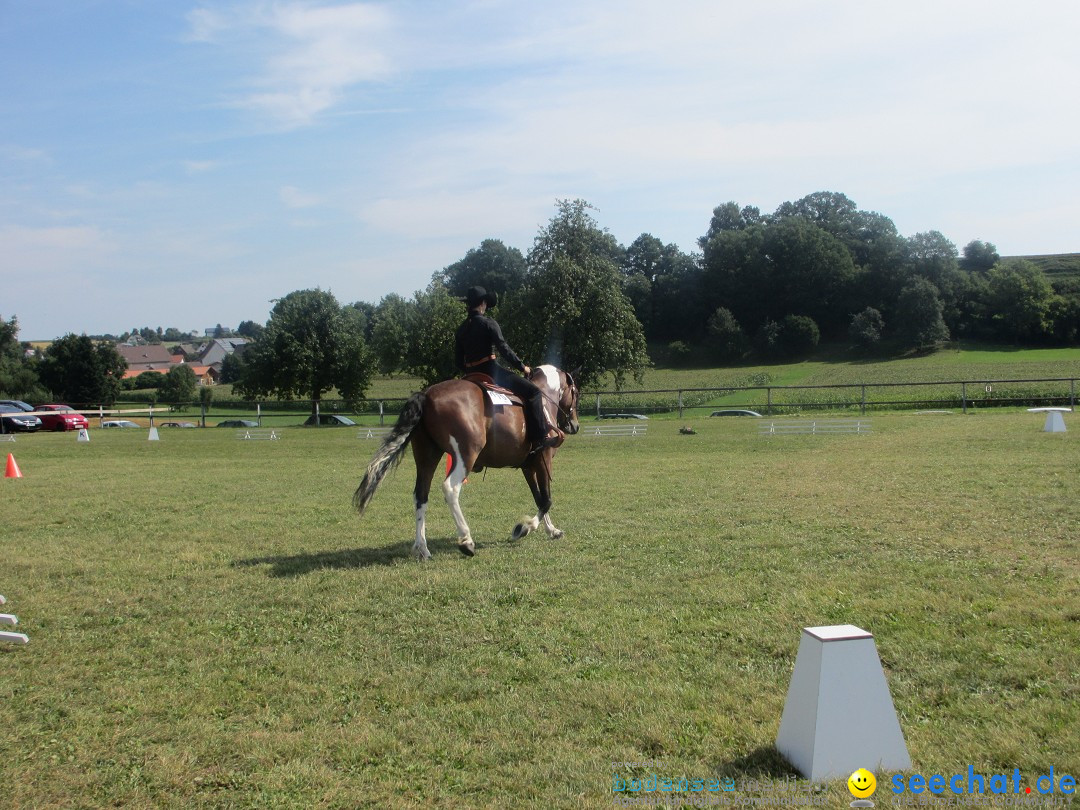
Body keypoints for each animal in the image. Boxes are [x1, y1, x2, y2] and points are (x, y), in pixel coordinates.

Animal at [354, 367, 578, 561]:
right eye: (575, 392)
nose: (574, 425)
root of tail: (426, 395)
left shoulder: (528, 466)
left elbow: (539, 499)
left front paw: (552, 530)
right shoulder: (543, 460)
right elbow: (546, 499)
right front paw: (523, 528)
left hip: (427, 457)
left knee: (421, 495)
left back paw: (422, 549)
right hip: (465, 455)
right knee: (450, 489)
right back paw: (466, 541)